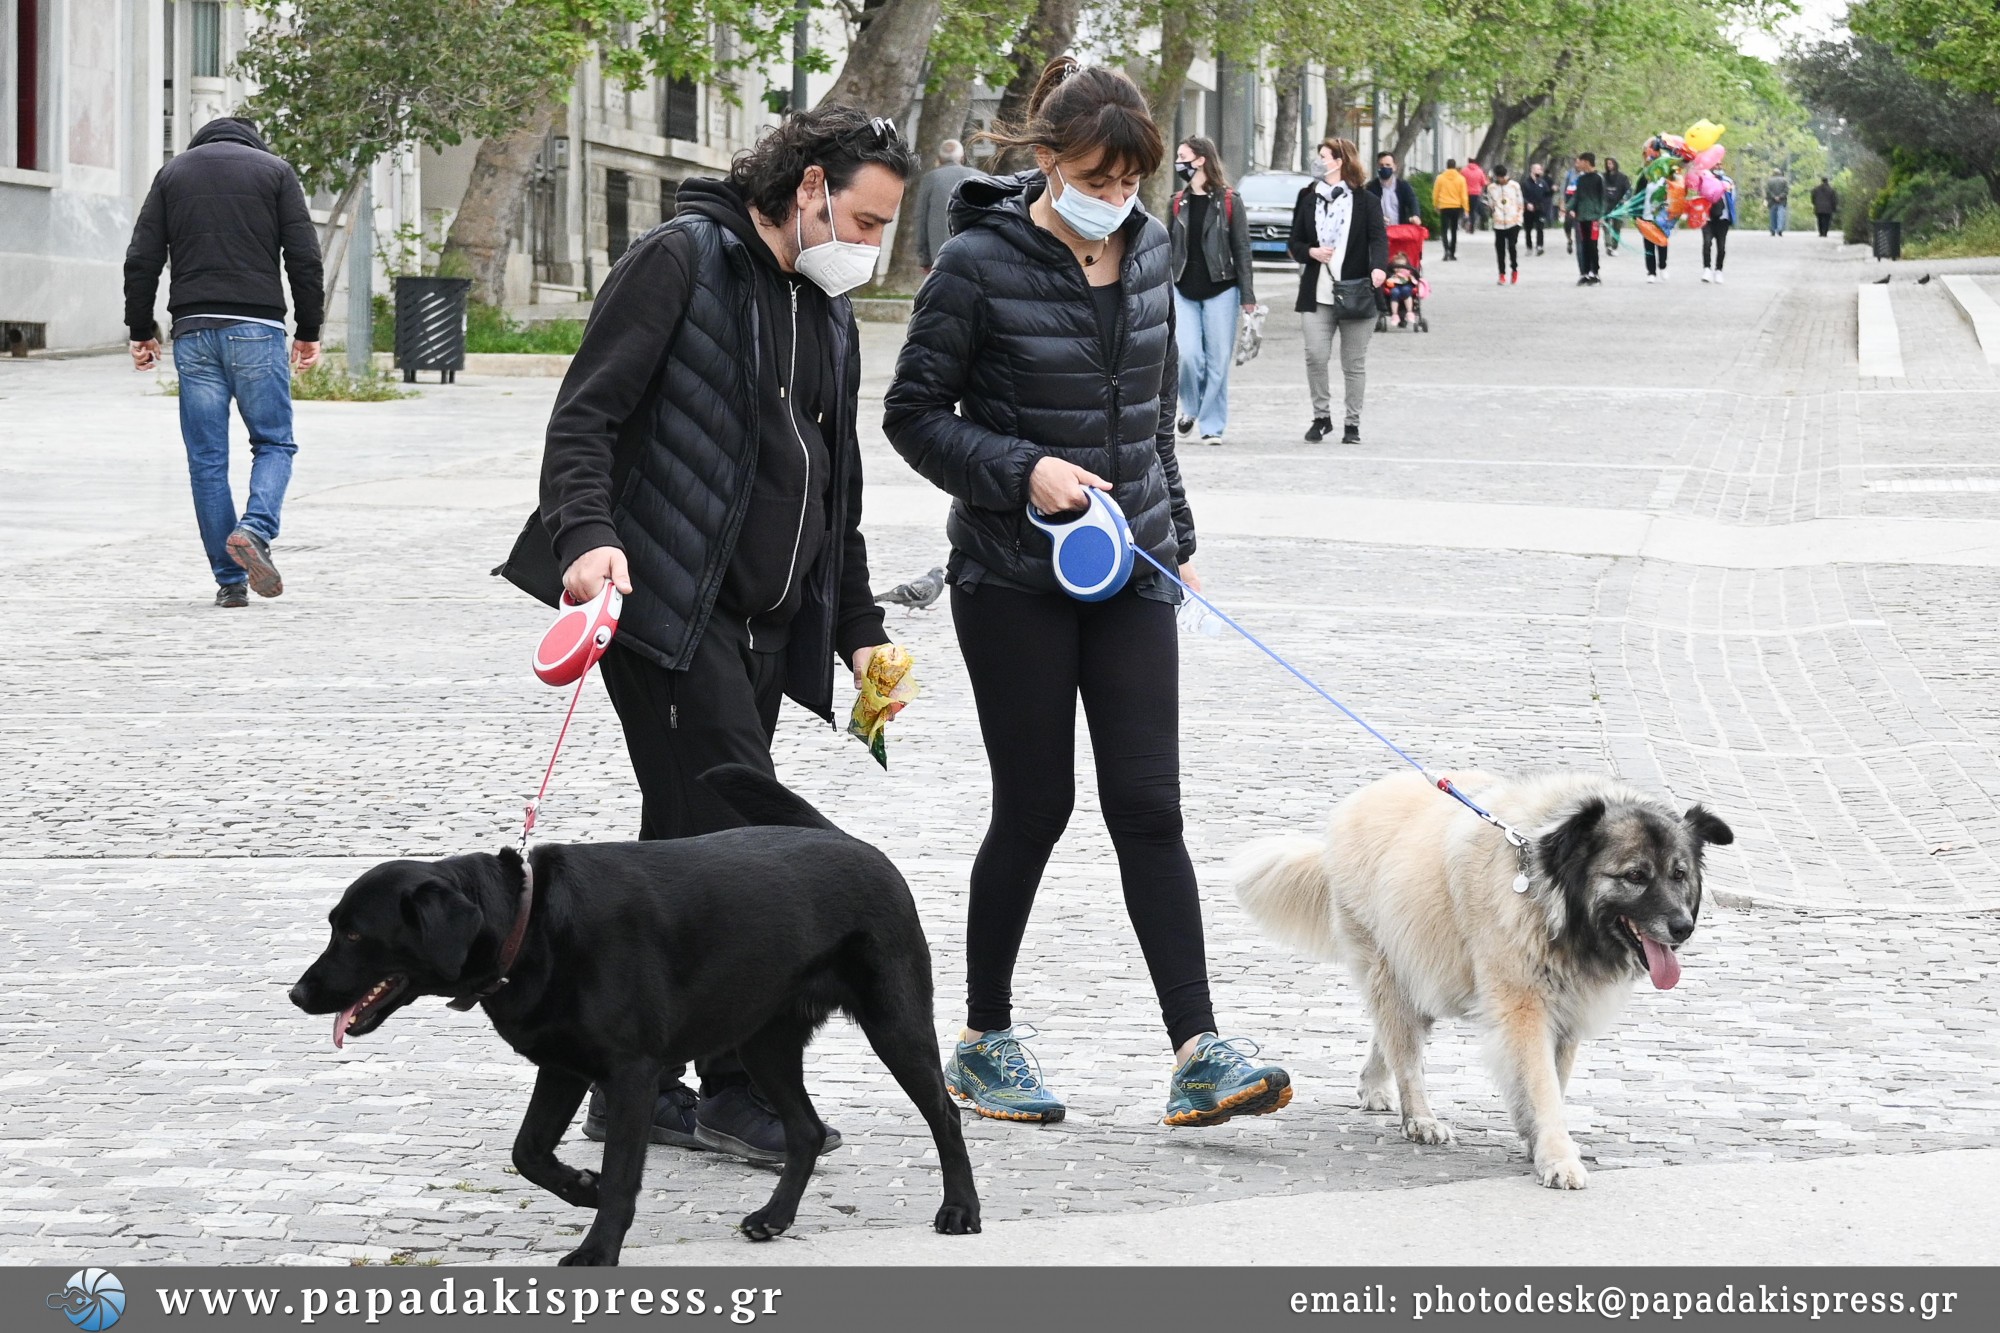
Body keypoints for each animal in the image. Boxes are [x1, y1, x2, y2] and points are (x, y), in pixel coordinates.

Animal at [292, 764, 984, 1264]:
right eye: (332, 926)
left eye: (353, 934)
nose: (297, 994)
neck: (530, 924)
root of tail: (851, 841)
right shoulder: (563, 1067)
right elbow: (528, 1151)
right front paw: (581, 1186)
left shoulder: (630, 1073)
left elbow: (623, 1174)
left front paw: (598, 1248)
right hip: (763, 1044)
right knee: (806, 1131)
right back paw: (775, 1218)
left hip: (895, 1023)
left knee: (944, 1114)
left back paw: (961, 1211)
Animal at [1224, 768, 1728, 1184]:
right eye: (1635, 876)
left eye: (1679, 874)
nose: (1683, 927)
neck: (1547, 887)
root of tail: (1349, 813)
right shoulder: (1524, 1008)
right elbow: (1542, 1084)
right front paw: (1556, 1156)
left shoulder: (1565, 1015)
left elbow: (1554, 1083)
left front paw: (1535, 1141)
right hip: (1394, 968)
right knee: (1404, 1050)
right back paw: (1420, 1119)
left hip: (1424, 975)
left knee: (1388, 1034)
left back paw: (1374, 1086)